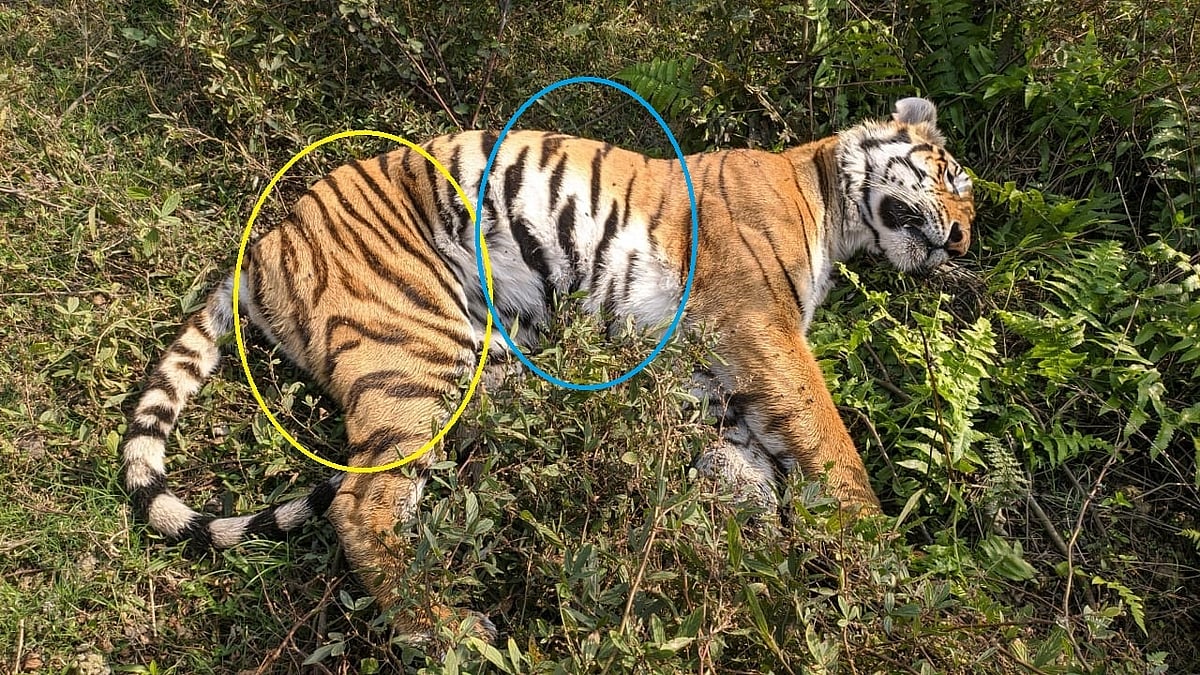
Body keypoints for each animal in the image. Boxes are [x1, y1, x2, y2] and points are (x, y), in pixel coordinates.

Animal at [121, 96, 974, 642]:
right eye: (948, 176)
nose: (964, 240)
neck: (828, 196)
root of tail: (266, 242)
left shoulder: (709, 367)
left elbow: (748, 464)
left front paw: (771, 561)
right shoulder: (759, 326)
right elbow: (826, 437)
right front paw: (882, 558)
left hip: (487, 364)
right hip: (415, 354)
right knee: (362, 508)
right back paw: (451, 632)